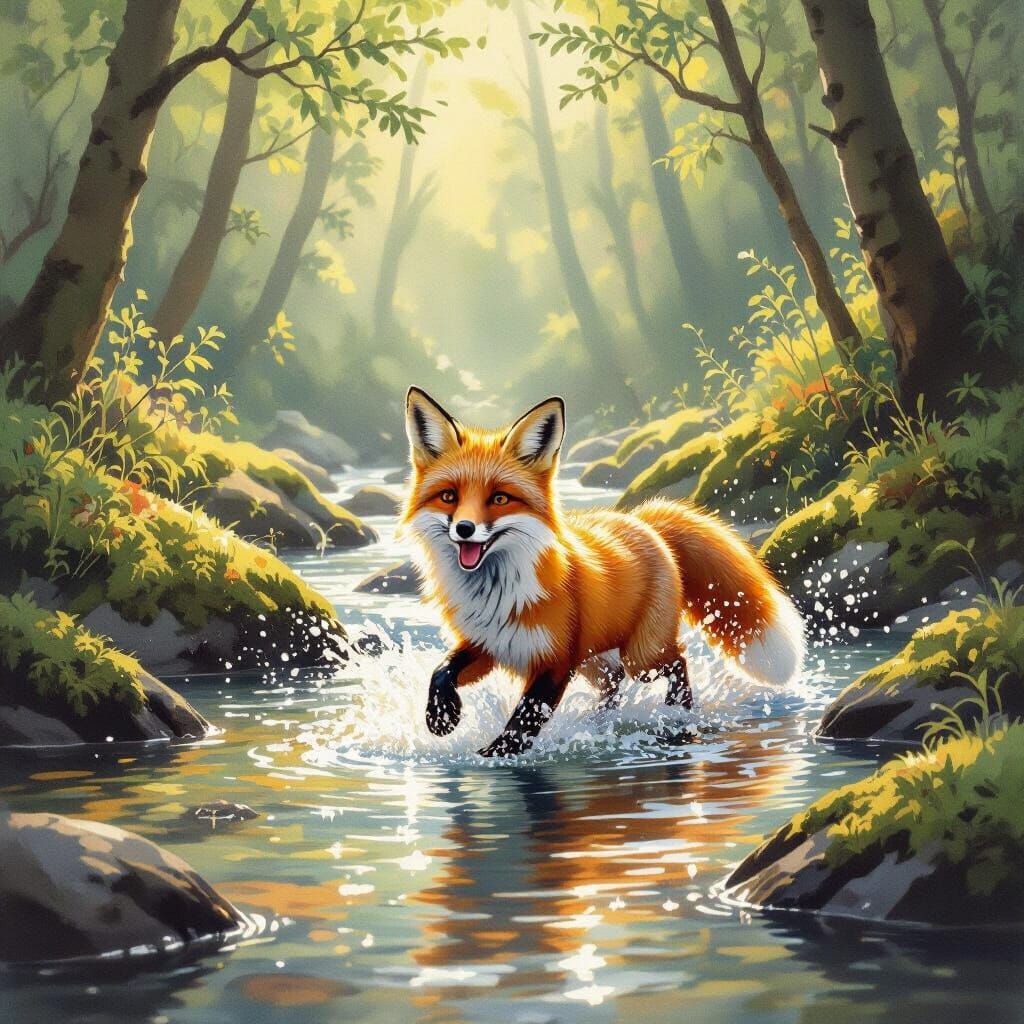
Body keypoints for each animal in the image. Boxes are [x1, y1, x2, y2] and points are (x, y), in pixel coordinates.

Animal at [401, 386, 806, 757]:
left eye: (500, 498)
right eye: (449, 497)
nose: (464, 528)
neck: (499, 593)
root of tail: (642, 520)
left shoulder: (554, 660)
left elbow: (526, 716)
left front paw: (496, 754)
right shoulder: (488, 644)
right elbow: (443, 670)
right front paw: (441, 716)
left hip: (641, 656)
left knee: (677, 660)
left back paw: (678, 714)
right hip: (595, 659)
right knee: (614, 683)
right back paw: (600, 723)